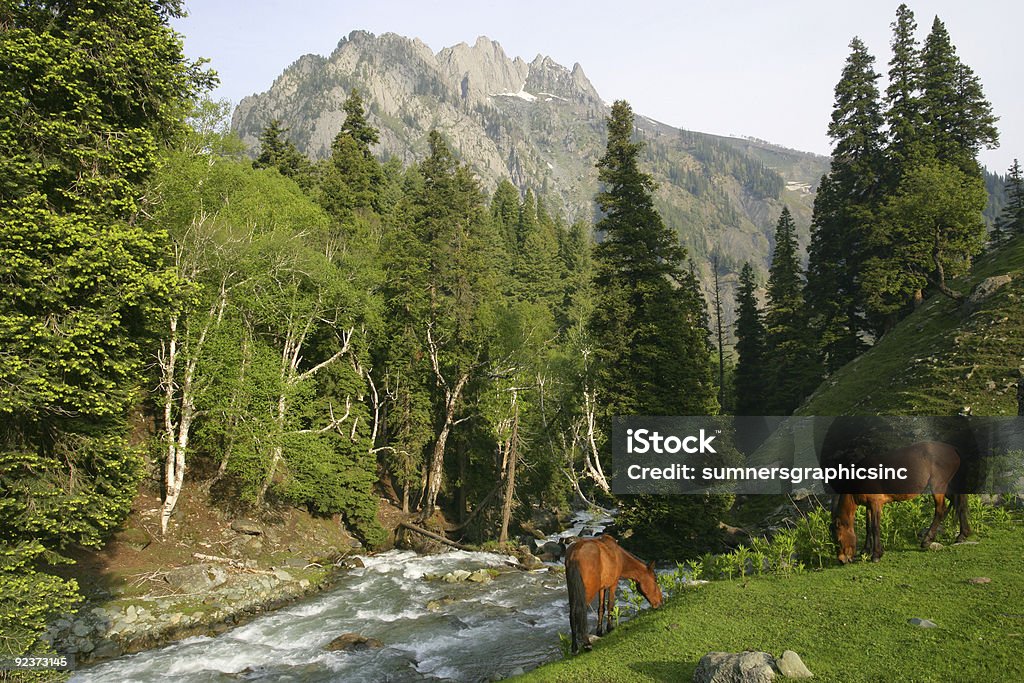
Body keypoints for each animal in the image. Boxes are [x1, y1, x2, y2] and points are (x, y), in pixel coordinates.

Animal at [831, 440, 966, 565]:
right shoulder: (868, 505)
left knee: (940, 510)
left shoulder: (876, 503)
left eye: (838, 539)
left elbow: (875, 527)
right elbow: (868, 527)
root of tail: (952, 448)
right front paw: (866, 550)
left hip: (938, 485)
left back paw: (927, 540)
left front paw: (876, 554)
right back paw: (963, 534)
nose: (841, 560)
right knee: (959, 503)